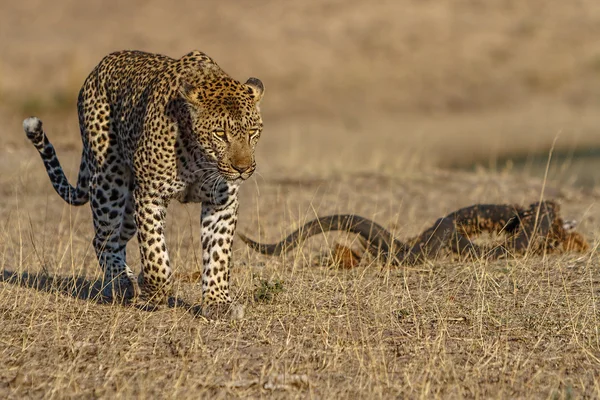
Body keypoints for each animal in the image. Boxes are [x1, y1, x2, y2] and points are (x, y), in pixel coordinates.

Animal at [22, 50, 264, 318]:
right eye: (220, 134)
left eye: (253, 132)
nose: (242, 168)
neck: (199, 157)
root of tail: (100, 66)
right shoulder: (150, 195)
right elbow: (154, 252)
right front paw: (156, 292)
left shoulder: (221, 202)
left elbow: (218, 254)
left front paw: (217, 303)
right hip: (109, 180)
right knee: (103, 237)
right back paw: (121, 283)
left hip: (129, 207)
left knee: (115, 238)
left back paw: (128, 278)